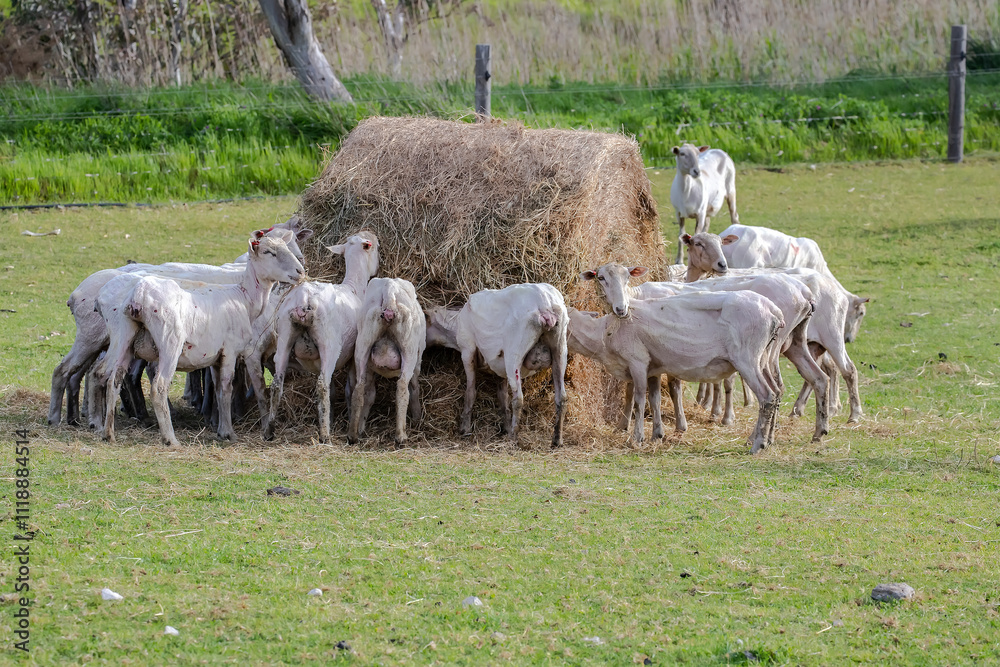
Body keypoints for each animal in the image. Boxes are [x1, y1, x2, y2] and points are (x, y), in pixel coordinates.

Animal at [47, 219, 310, 427]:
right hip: (96, 336)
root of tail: (78, 294)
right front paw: (220, 416)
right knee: (76, 371)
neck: (240, 286)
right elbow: (227, 380)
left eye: (294, 242)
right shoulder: (236, 345)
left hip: (105, 340)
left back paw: (80, 417)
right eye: (270, 252)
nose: (301, 268)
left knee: (84, 372)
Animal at [263, 232, 380, 443]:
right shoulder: (352, 357)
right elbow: (349, 389)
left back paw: (270, 430)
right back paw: (325, 435)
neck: (354, 287)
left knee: (276, 384)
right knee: (322, 385)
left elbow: (333, 392)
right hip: (329, 345)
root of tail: (305, 300)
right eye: (376, 247)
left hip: (284, 338)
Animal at [346, 278, 426, 445]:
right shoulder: (417, 361)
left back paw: (353, 434)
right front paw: (417, 417)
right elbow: (414, 386)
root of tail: (390, 290)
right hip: (409, 347)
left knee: (359, 388)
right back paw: (401, 436)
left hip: (364, 342)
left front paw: (361, 426)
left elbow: (370, 395)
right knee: (402, 387)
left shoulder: (370, 368)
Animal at [424, 283, 569, 448]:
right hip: (560, 347)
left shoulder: (468, 350)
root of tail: (544, 302)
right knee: (561, 397)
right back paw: (557, 440)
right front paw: (505, 426)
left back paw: (513, 438)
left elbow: (470, 391)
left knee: (518, 399)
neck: (454, 327)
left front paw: (465, 429)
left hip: (514, 351)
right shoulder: (500, 368)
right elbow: (502, 396)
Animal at [566, 288, 784, 453]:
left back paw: (757, 445)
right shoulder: (653, 368)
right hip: (763, 358)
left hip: (747, 358)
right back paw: (765, 439)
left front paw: (637, 438)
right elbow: (654, 400)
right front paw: (657, 435)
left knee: (767, 396)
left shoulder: (638, 361)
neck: (606, 333)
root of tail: (774, 311)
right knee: (777, 392)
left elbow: (639, 401)